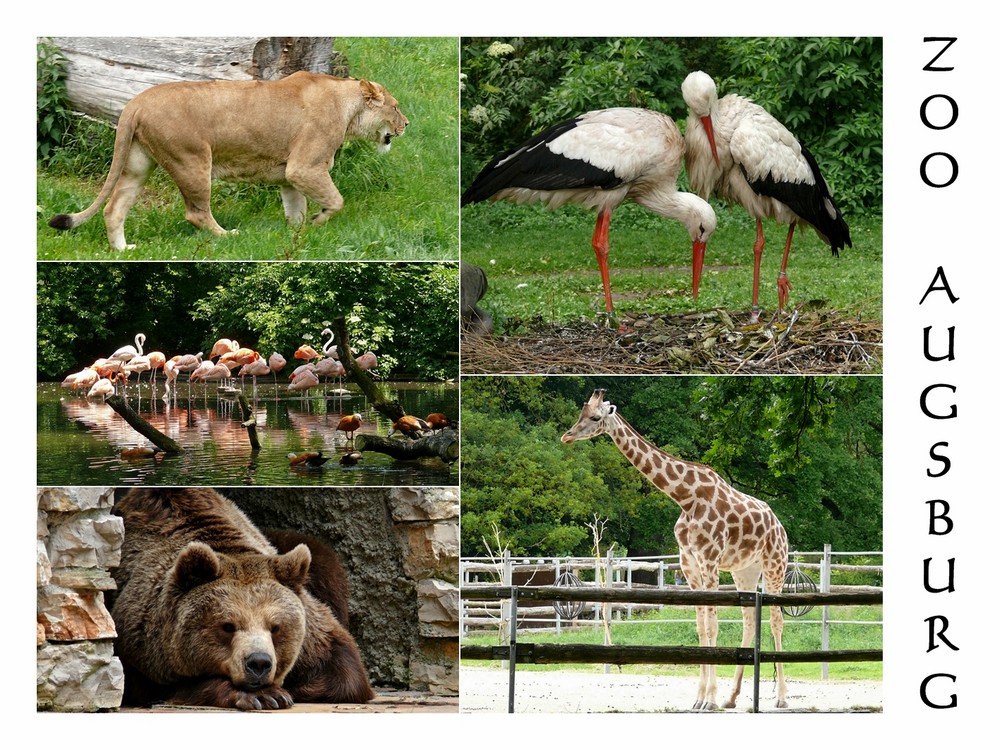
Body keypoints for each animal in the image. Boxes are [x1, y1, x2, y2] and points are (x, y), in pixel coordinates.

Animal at [108, 488, 376, 712]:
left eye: (275, 627)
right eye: (228, 626)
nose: (258, 663)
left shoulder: (314, 634)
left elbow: (344, 670)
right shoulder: (140, 642)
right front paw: (264, 695)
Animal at [564, 390, 788, 712]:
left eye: (595, 417)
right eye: (580, 414)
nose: (566, 436)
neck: (685, 497)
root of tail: (780, 525)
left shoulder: (709, 560)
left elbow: (712, 625)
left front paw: (709, 699)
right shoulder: (689, 564)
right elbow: (701, 626)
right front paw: (701, 698)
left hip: (775, 564)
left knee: (776, 620)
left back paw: (781, 696)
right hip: (745, 570)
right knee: (749, 621)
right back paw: (732, 697)